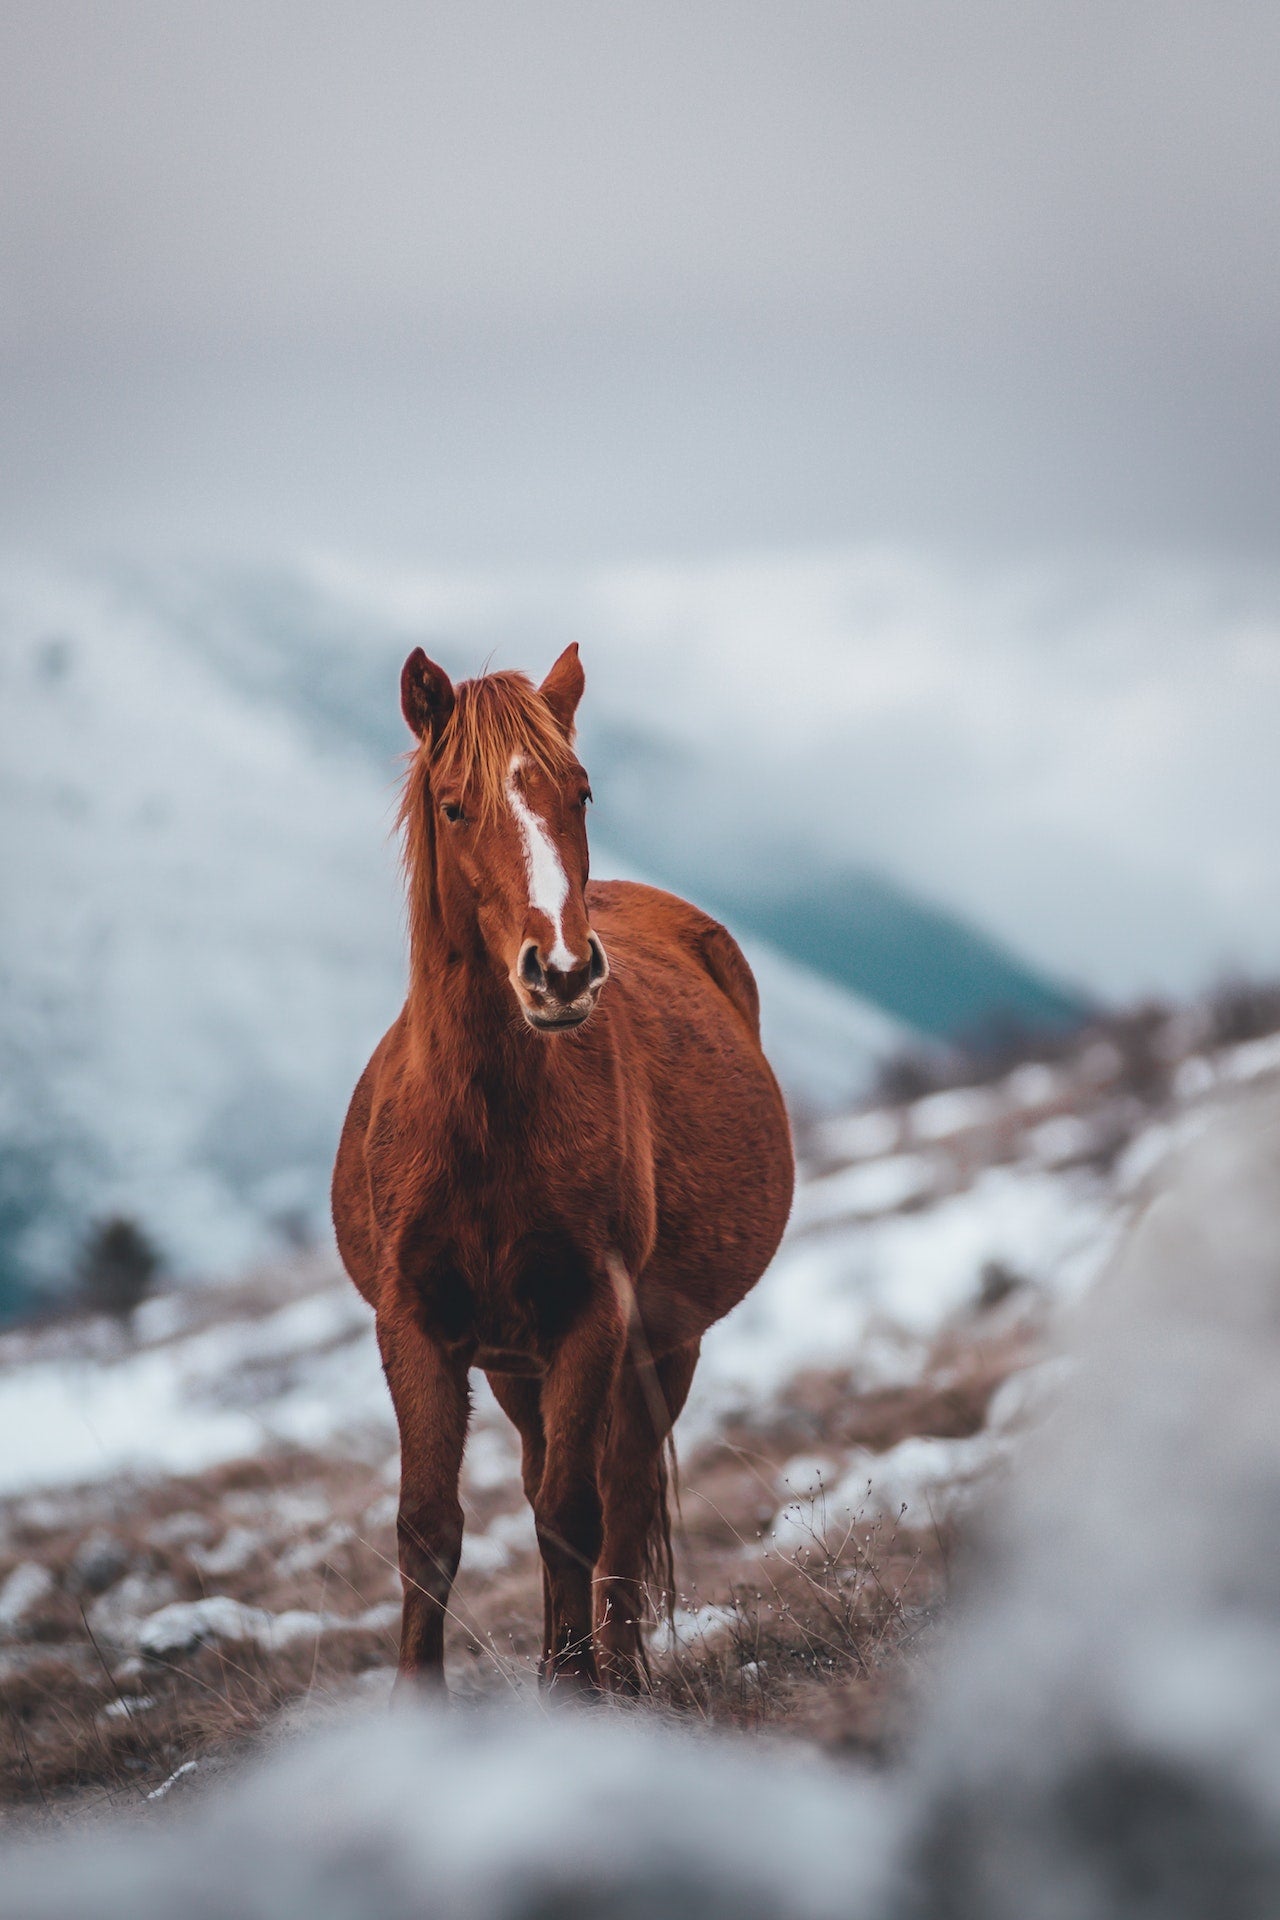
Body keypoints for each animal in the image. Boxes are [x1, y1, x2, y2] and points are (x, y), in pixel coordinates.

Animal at [332, 643, 794, 1691]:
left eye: (580, 792)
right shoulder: (417, 1325)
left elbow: (575, 1516)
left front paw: (584, 1692)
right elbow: (429, 1529)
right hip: (514, 1363)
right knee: (548, 1469)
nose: (564, 972)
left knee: (617, 1495)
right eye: (454, 805)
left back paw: (612, 1669)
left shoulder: (594, 1316)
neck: (484, 1124)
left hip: (663, 1343)